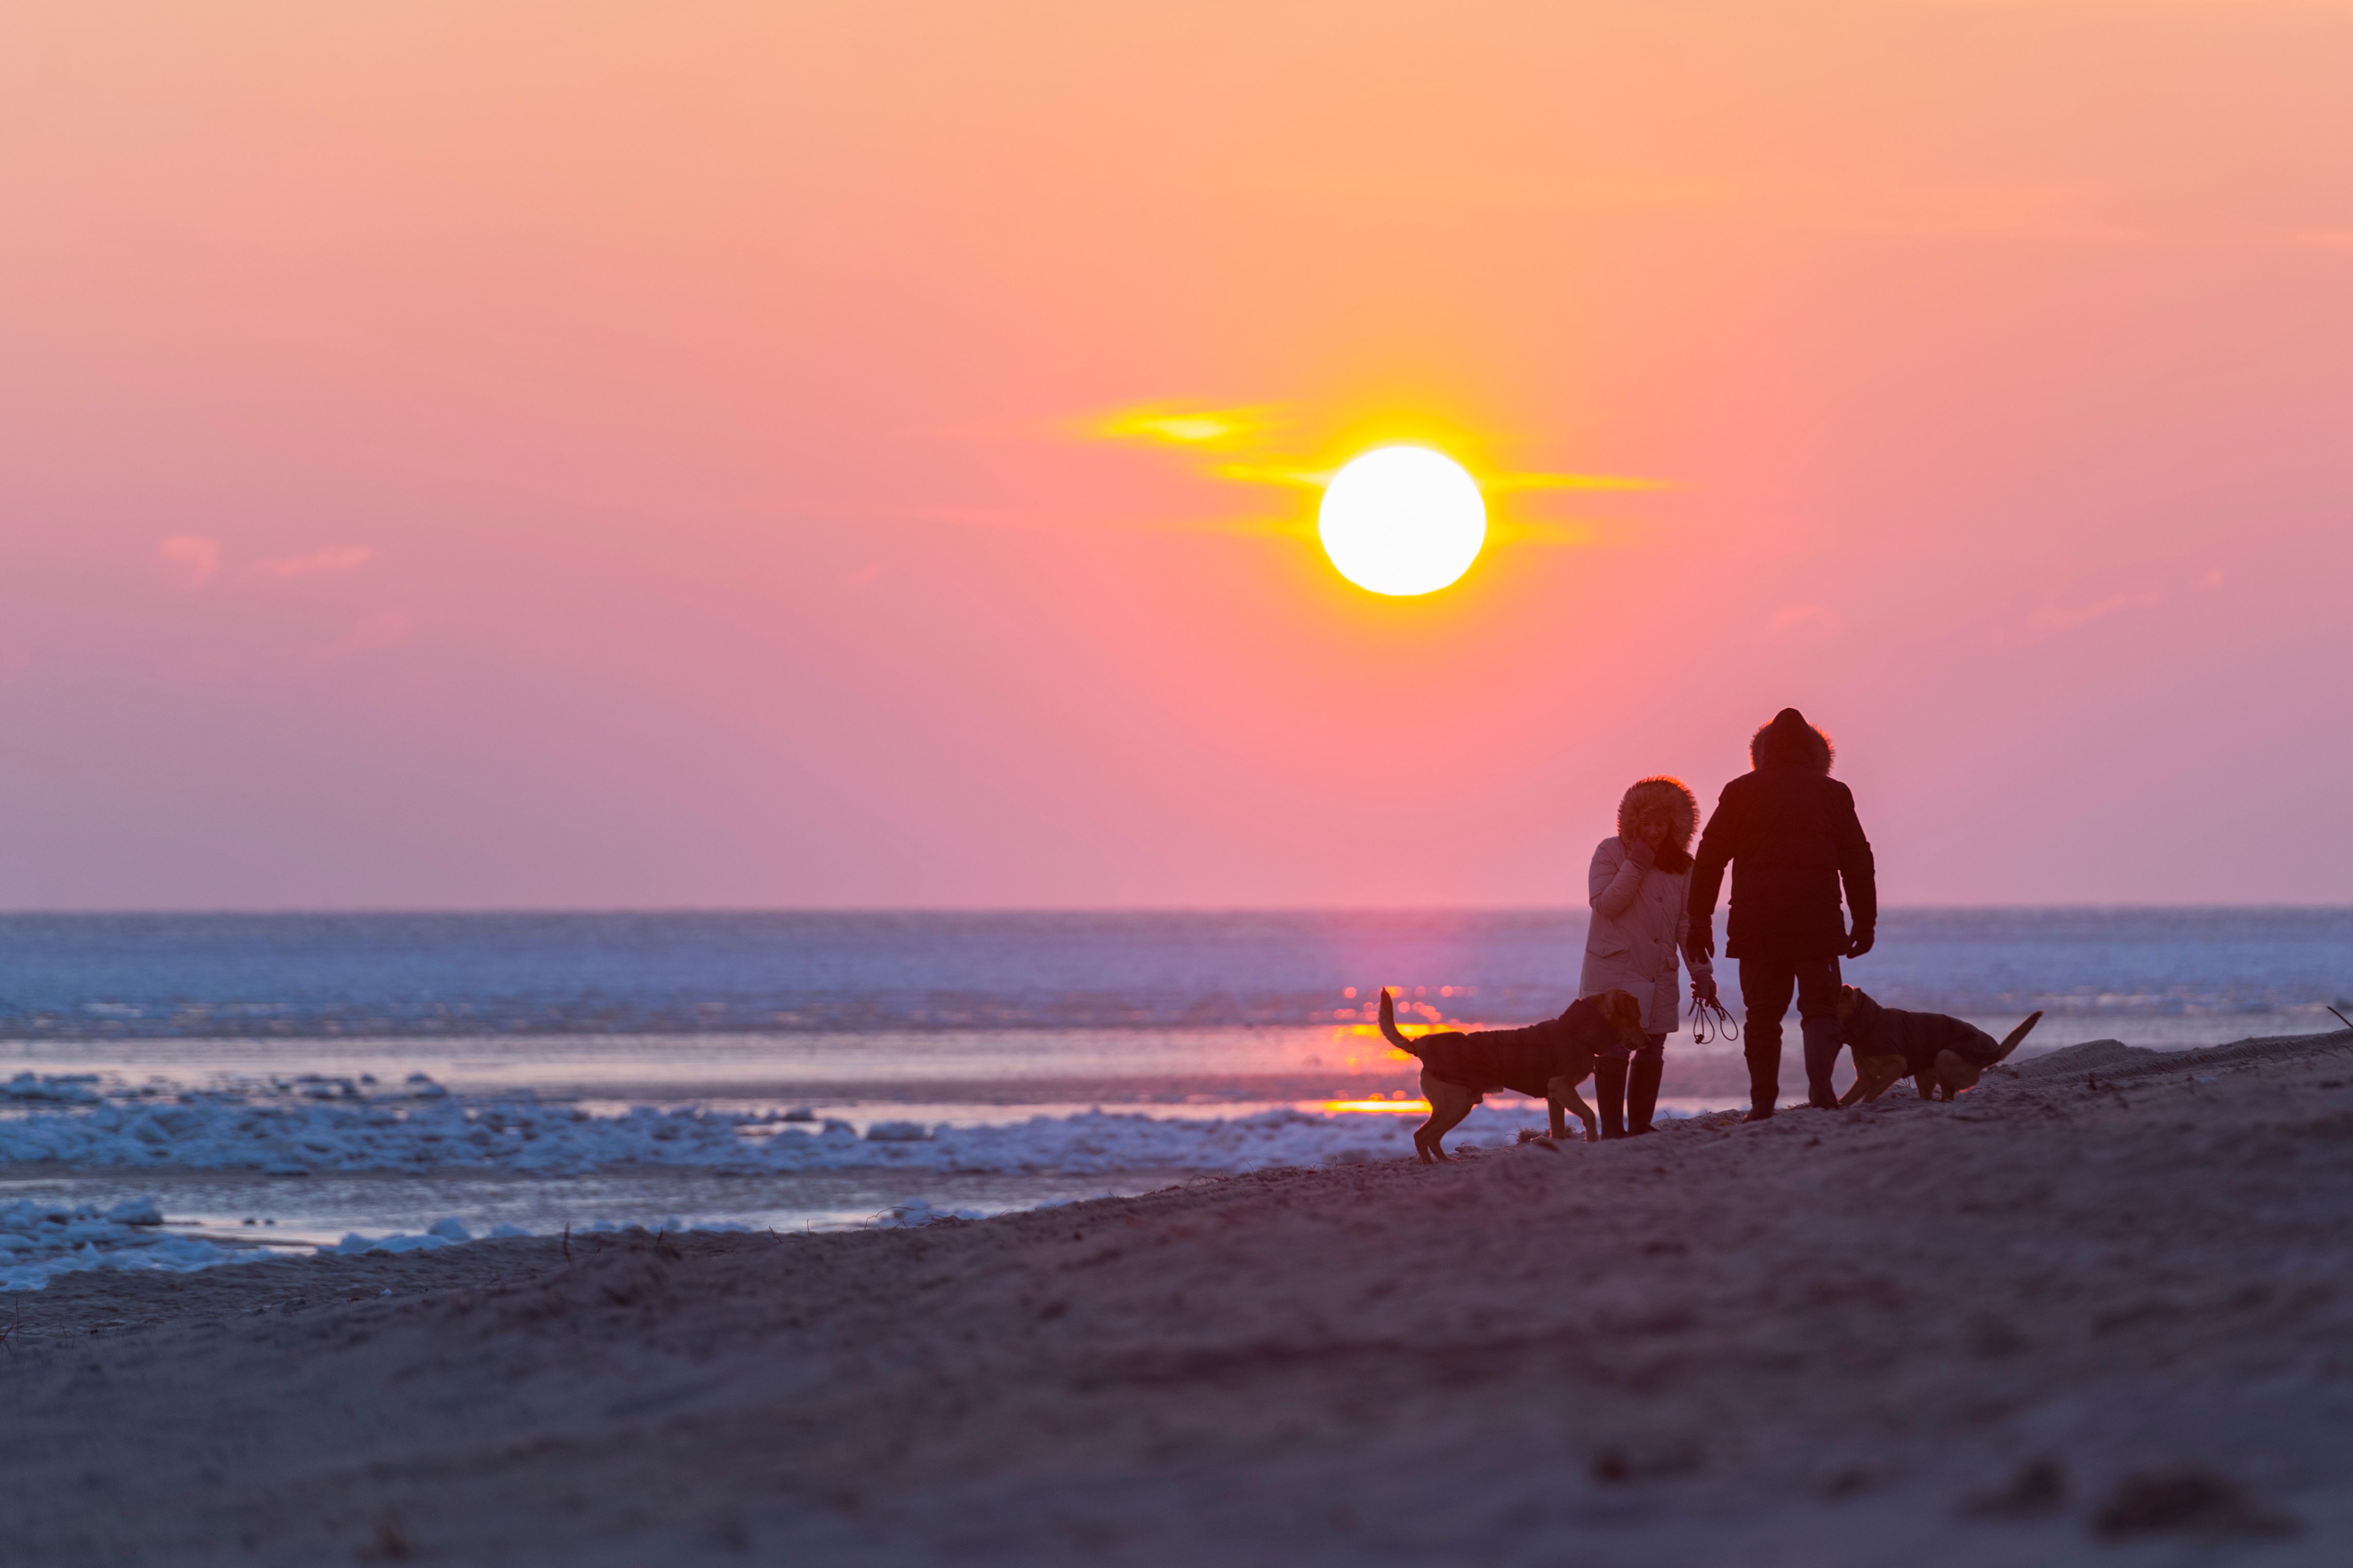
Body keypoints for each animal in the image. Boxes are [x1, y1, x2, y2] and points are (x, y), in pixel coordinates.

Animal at [1374, 987, 1647, 1161]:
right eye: (1637, 1017)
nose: (1648, 1040)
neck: (1578, 1031)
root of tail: (1417, 1045)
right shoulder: (1562, 1088)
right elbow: (1589, 1115)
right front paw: (1592, 1143)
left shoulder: (1555, 1096)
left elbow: (1558, 1129)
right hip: (1455, 1106)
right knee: (1422, 1136)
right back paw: (1431, 1164)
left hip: (1459, 1107)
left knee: (1431, 1138)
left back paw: (1444, 1162)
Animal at [1835, 992, 2042, 1105]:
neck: (1870, 1023)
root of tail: (1994, 1053)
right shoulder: (1865, 1077)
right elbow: (1848, 1099)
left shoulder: (1897, 1066)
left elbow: (1871, 1094)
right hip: (1924, 1073)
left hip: (1944, 1057)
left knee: (1949, 1096)